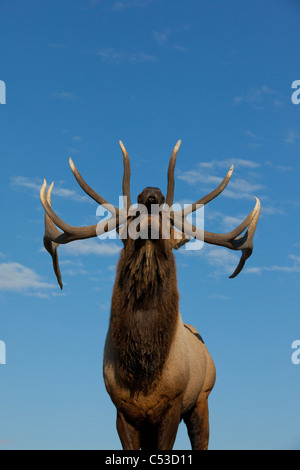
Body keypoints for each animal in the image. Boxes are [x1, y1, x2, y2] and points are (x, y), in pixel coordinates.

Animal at [39, 140, 260, 452]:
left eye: (168, 222)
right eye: (131, 216)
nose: (151, 194)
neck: (144, 375)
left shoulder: (173, 405)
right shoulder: (123, 411)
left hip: (202, 397)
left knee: (202, 439)